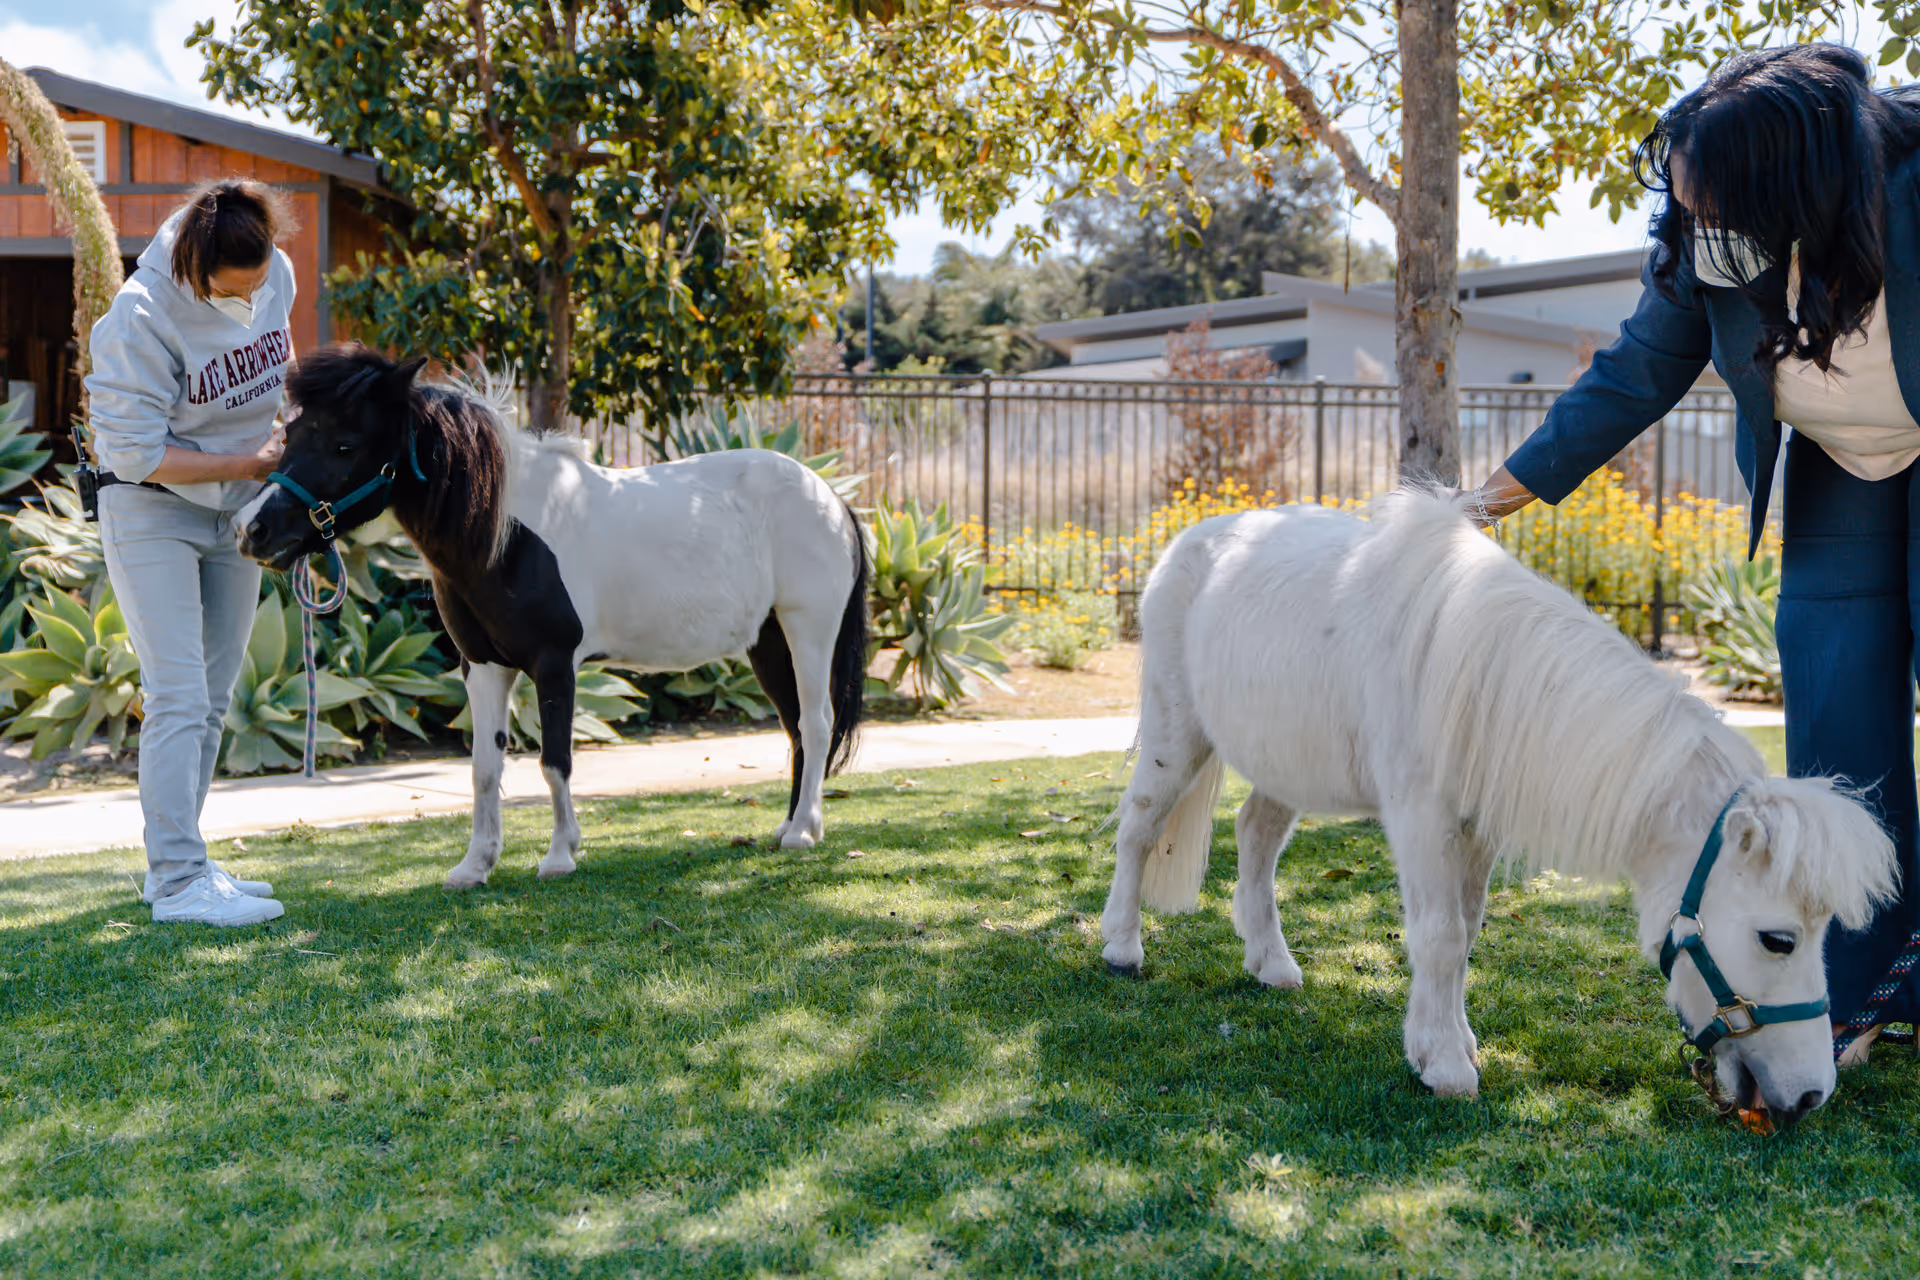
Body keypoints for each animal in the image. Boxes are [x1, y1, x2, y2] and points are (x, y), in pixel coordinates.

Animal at [236, 345, 869, 886]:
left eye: (346, 444)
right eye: (290, 434)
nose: (252, 530)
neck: (504, 535)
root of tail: (832, 498)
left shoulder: (555, 663)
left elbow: (555, 760)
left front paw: (560, 855)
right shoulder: (483, 666)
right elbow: (485, 768)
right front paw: (475, 865)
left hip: (808, 630)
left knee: (815, 724)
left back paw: (802, 835)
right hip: (768, 642)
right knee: (795, 728)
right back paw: (790, 826)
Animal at [1103, 489, 1896, 1125]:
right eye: (1779, 940)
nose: (1812, 1095)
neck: (1483, 671)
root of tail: (1195, 537)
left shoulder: (1474, 827)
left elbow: (1465, 931)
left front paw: (1448, 1040)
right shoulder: (1421, 817)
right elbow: (1439, 937)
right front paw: (1446, 1067)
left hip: (1286, 760)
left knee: (1256, 834)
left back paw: (1271, 962)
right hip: (1177, 732)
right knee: (1139, 827)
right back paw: (1121, 946)